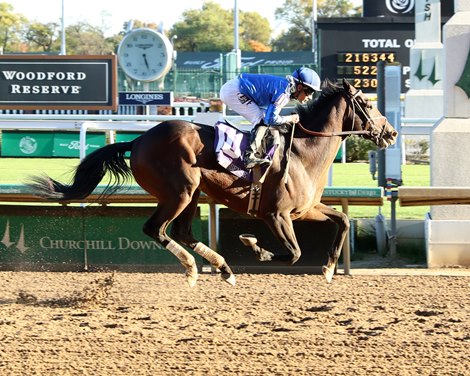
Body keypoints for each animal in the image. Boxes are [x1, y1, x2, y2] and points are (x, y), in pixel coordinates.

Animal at [28, 78, 396, 284]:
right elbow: (293, 253)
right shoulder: (275, 215)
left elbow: (344, 219)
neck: (303, 152)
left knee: (182, 232)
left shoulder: (304, 210)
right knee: (155, 229)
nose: (391, 133)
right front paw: (252, 244)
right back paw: (193, 268)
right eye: (367, 103)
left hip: (191, 194)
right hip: (179, 191)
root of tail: (139, 140)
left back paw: (223, 268)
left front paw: (330, 268)